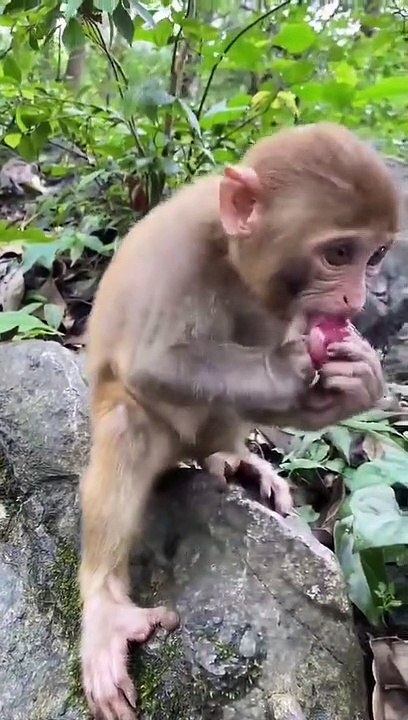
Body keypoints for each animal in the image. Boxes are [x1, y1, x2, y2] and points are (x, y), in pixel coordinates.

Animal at [80, 122, 399, 720]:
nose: (356, 299)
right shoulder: (179, 250)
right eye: (338, 253)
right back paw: (105, 605)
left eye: (374, 257)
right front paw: (287, 372)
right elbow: (154, 365)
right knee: (131, 419)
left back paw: (230, 456)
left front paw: (357, 384)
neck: (231, 253)